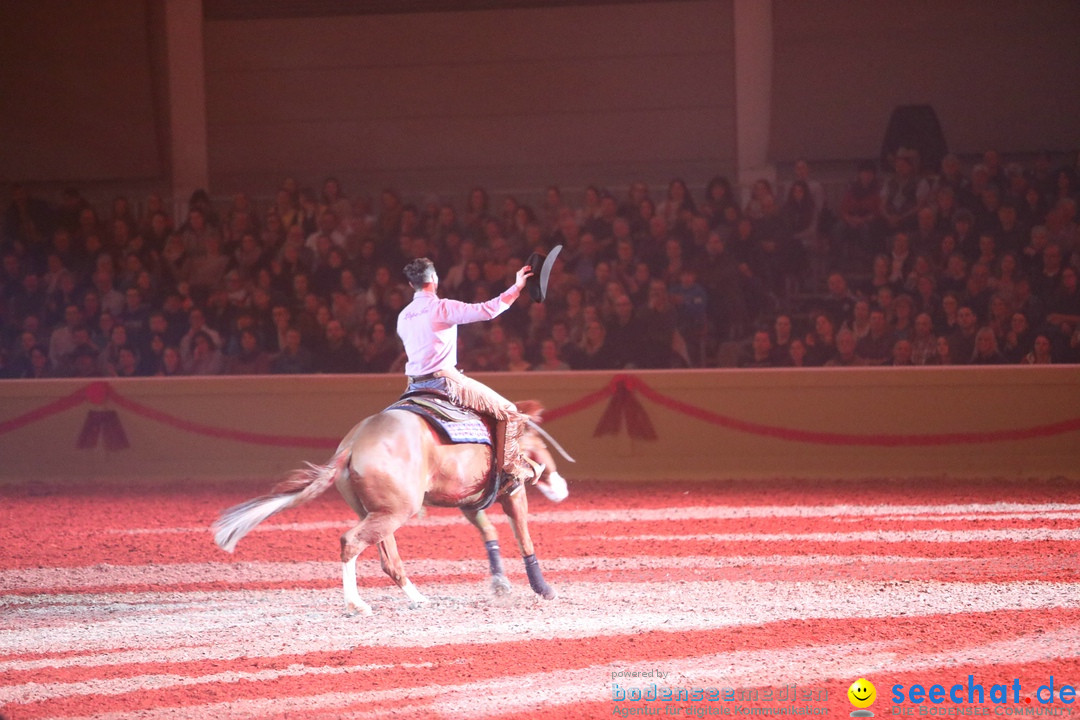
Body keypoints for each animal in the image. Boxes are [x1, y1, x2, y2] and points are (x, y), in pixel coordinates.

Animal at [208, 397, 565, 617]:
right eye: (544, 446)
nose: (561, 487)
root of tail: (353, 444)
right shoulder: (512, 493)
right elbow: (523, 536)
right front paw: (543, 588)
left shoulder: (467, 502)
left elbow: (489, 533)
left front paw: (500, 584)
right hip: (394, 513)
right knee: (350, 542)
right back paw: (356, 604)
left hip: (380, 513)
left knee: (388, 561)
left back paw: (417, 598)